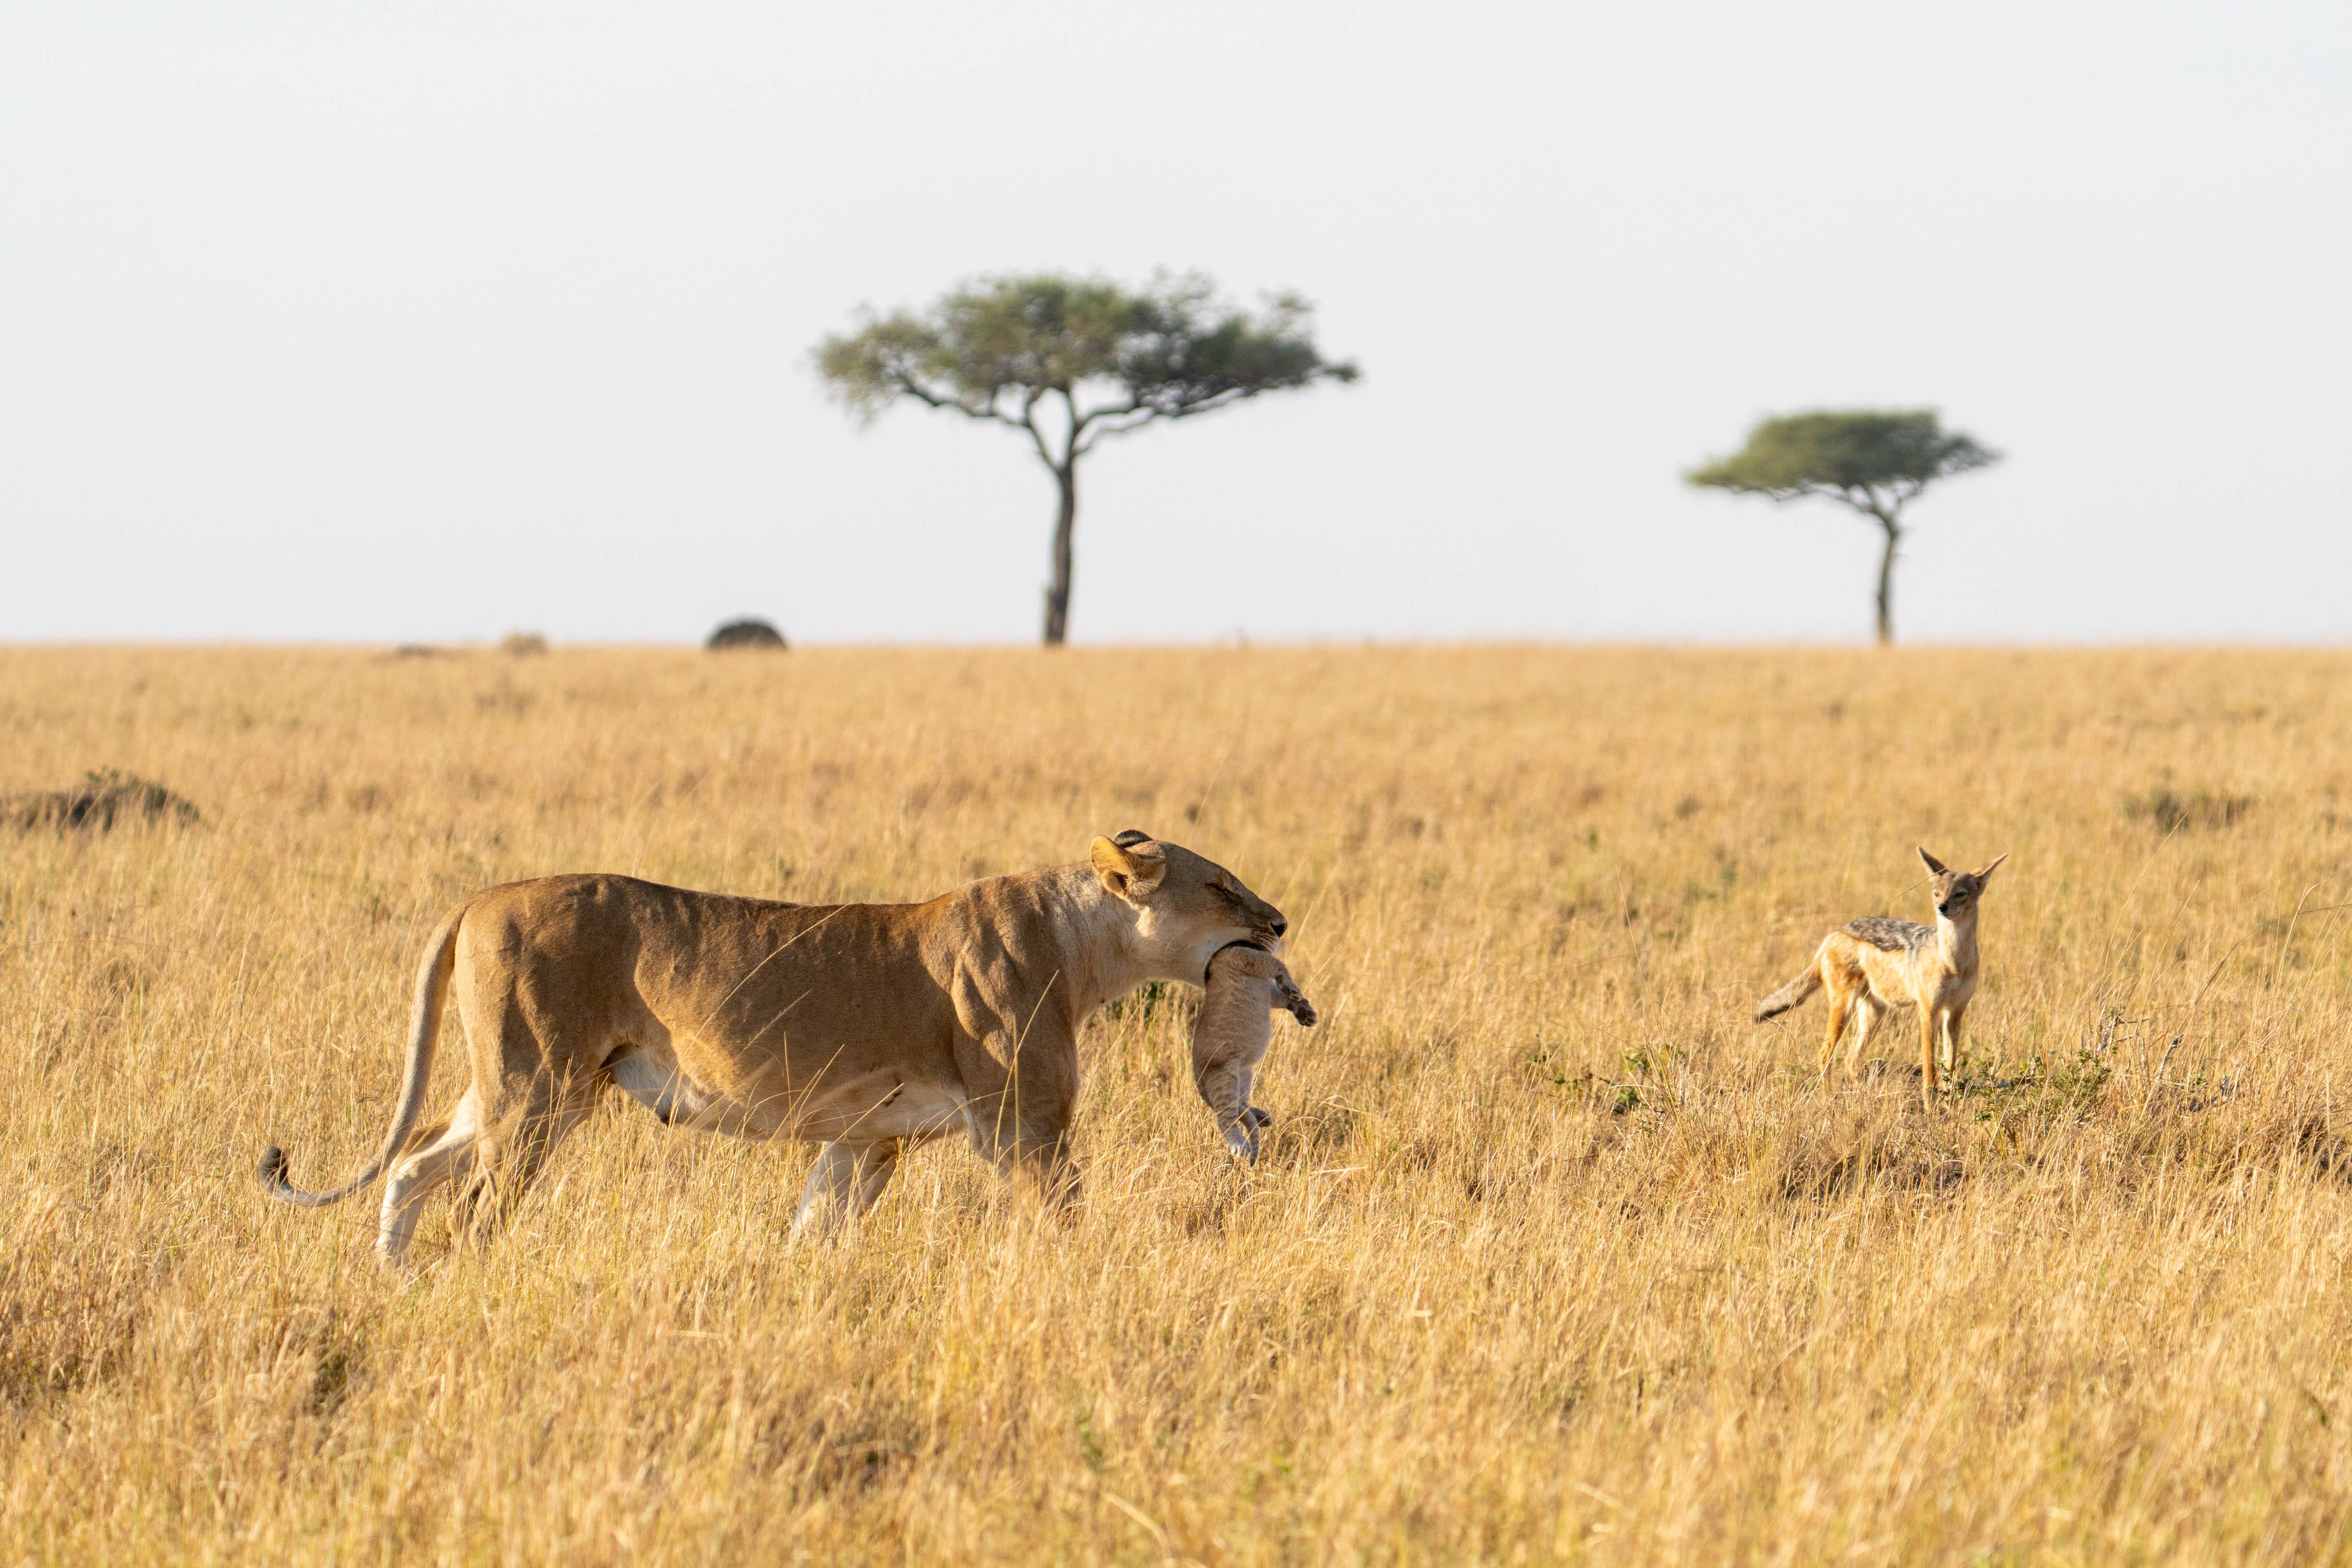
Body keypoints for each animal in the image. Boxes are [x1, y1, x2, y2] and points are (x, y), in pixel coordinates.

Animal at [257, 831, 1290, 1263]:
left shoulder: (866, 1137)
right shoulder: (1024, 1124)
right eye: (1222, 886)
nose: (1280, 923)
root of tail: (481, 896)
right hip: (537, 1086)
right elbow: (1063, 1217)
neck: (1085, 946)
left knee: (412, 1169)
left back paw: (392, 1285)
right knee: (472, 1210)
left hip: (512, 1082)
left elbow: (814, 1229)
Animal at [1193, 942, 1315, 1163]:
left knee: (1243, 1106)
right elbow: (1279, 966)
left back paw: (1262, 1118)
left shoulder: (1265, 989)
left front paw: (1306, 1012)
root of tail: (1200, 1086)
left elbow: (1280, 996)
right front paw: (1294, 991)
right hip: (1224, 1080)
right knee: (1226, 1119)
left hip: (1244, 1076)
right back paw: (1240, 1146)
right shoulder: (1248, 961)